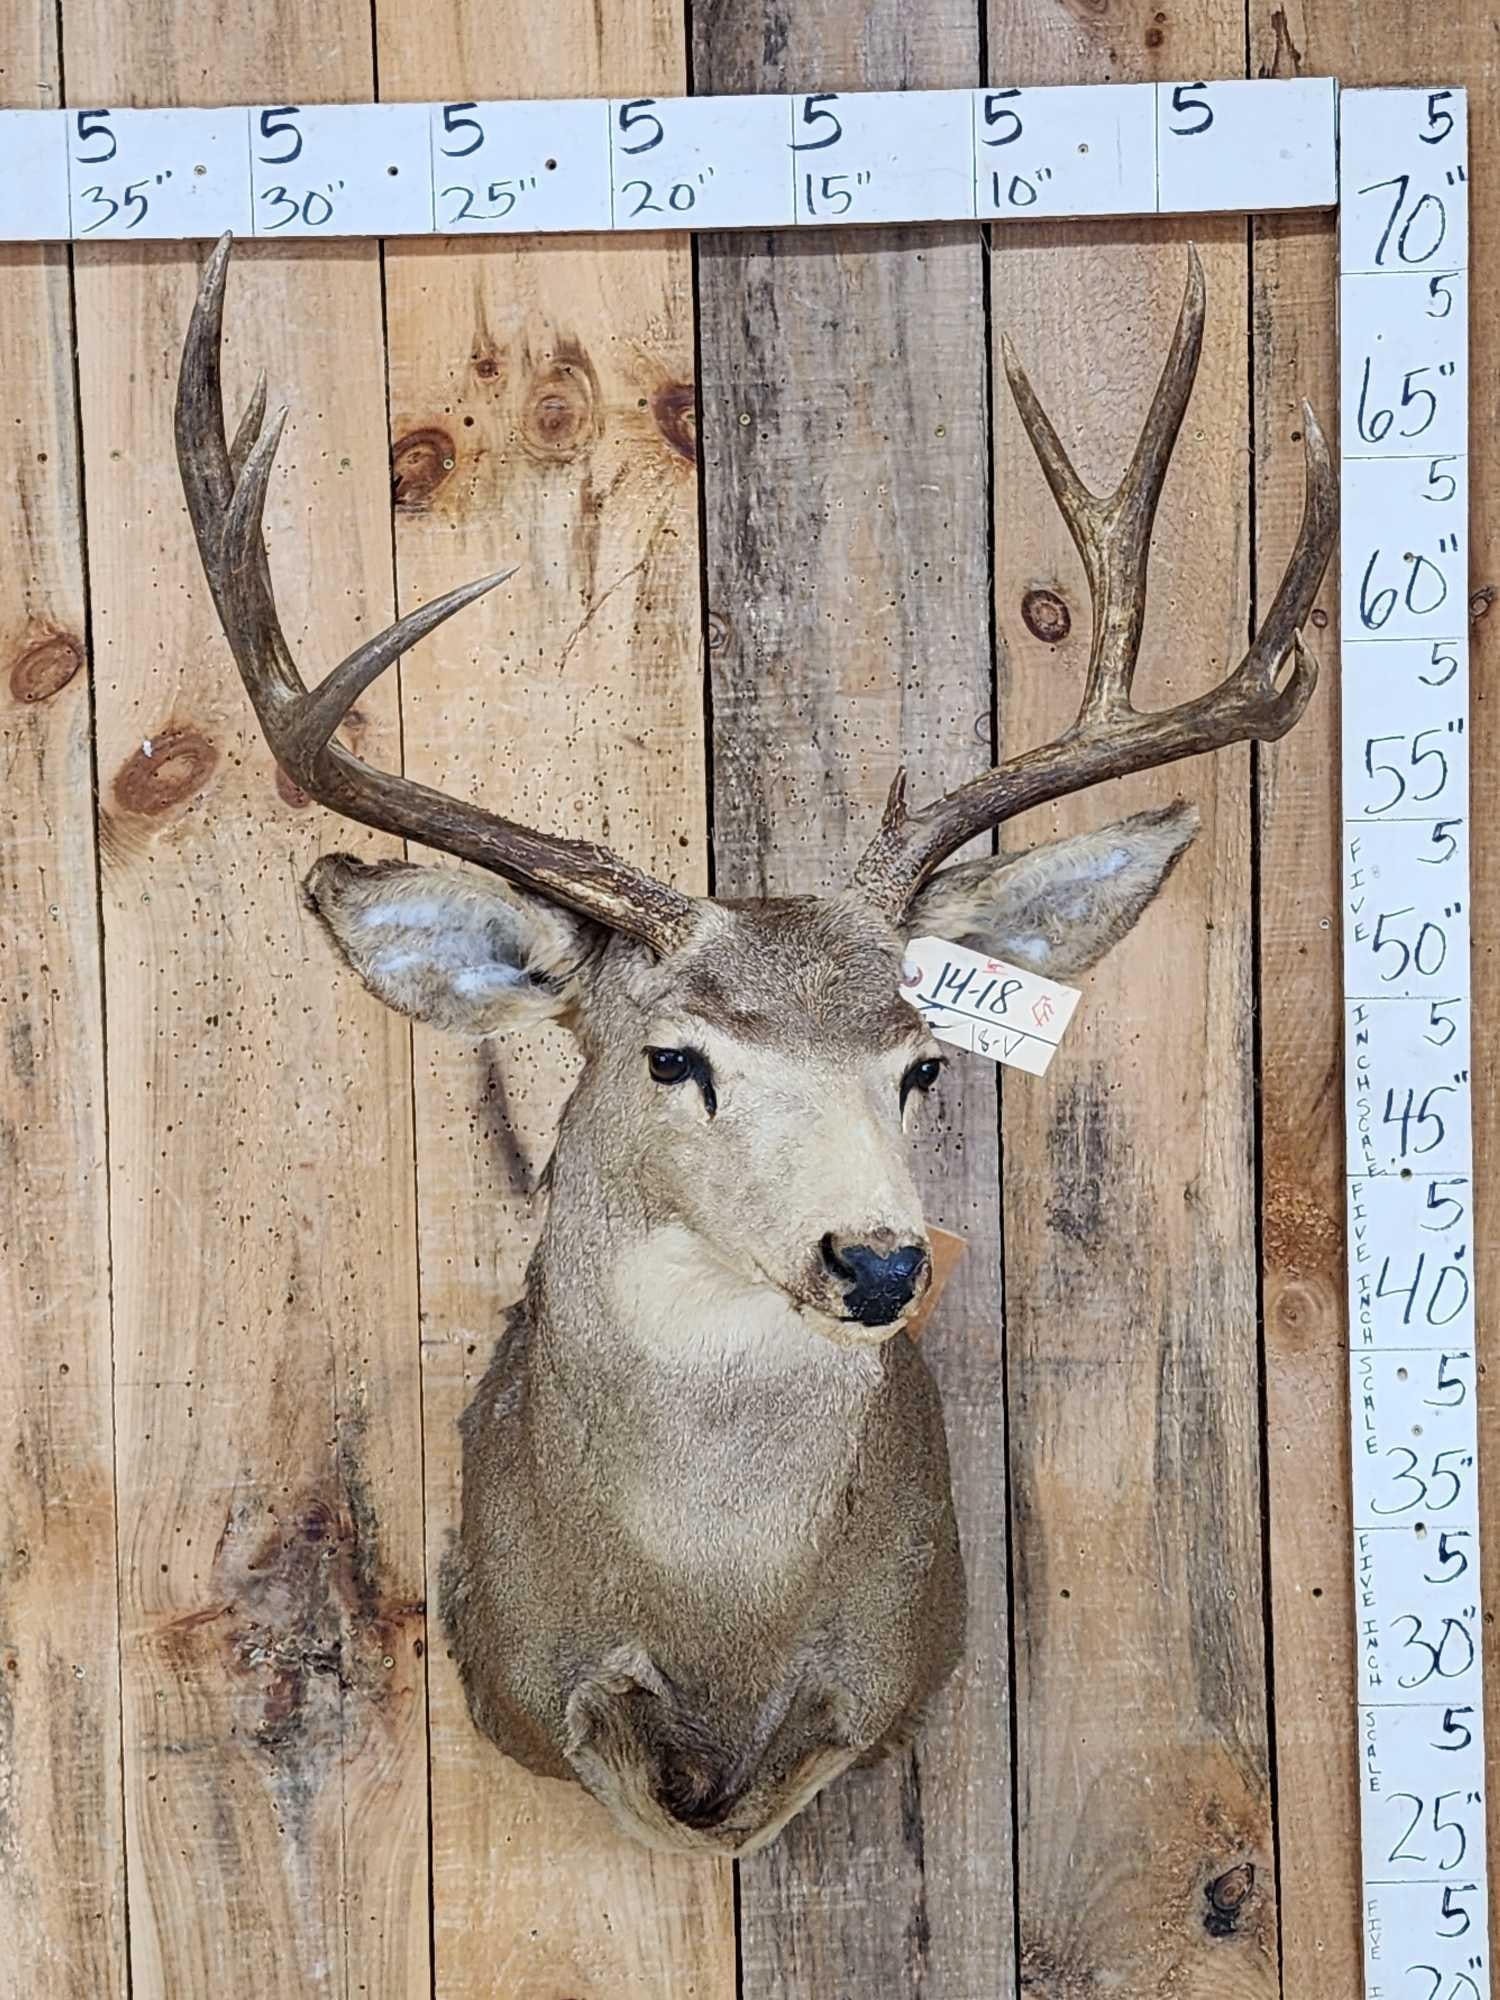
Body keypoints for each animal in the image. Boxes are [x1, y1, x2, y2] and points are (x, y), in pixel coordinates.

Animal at [176, 235, 1335, 1857]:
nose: (880, 1260)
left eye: (922, 1062)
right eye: (676, 1058)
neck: (718, 1602)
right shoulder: (538, 1670)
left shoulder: (879, 1669)